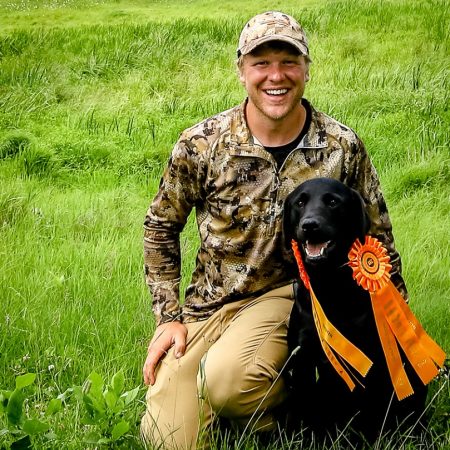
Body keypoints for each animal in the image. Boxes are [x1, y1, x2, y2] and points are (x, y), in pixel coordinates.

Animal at [282, 177, 428, 443]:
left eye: (332, 201)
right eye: (300, 202)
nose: (309, 225)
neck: (331, 287)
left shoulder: (373, 359)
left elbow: (371, 413)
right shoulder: (302, 359)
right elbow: (304, 411)